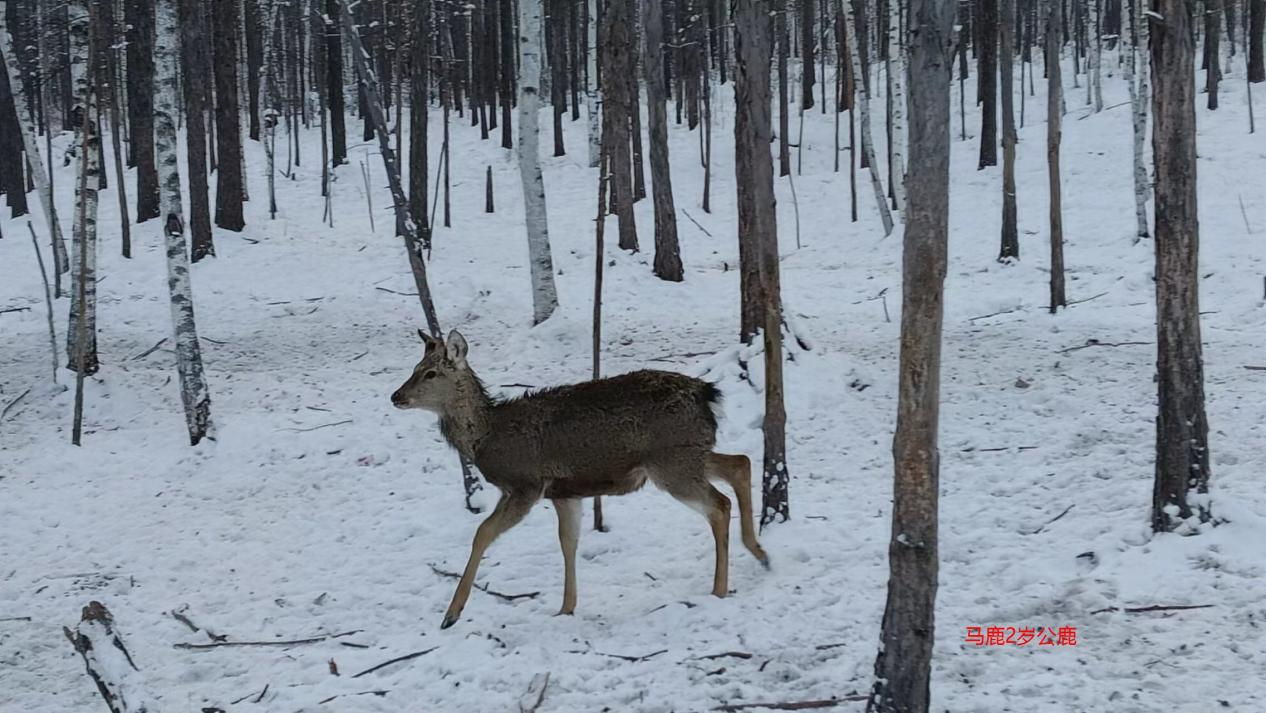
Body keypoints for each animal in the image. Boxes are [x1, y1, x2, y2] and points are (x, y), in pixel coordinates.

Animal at [391, 329, 769, 629]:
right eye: (414, 369)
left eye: (430, 373)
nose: (396, 396)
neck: (485, 436)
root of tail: (707, 394)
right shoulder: (564, 492)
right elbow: (568, 542)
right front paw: (566, 608)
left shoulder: (526, 484)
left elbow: (482, 533)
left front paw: (451, 614)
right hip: (688, 453)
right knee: (740, 463)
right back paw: (760, 553)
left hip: (672, 465)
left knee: (719, 504)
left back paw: (720, 588)